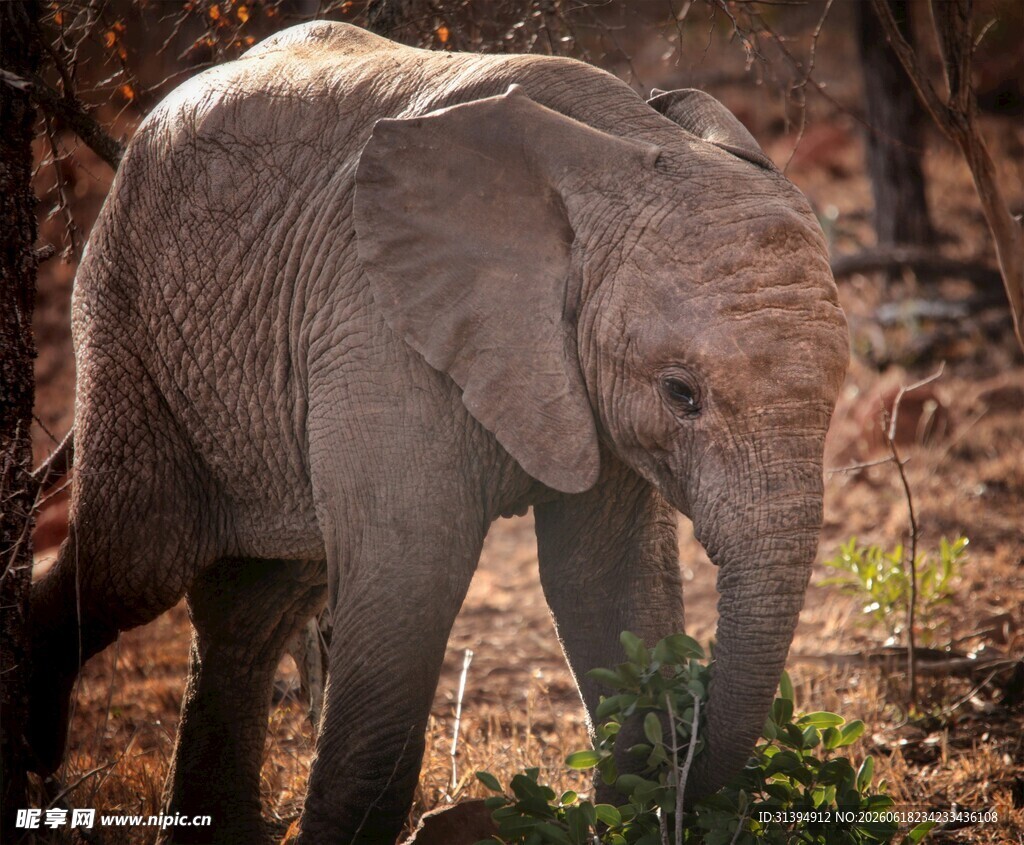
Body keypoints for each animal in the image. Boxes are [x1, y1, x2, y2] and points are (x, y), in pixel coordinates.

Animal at [27, 20, 849, 845]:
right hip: (128, 319)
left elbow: (600, 579)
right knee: (135, 560)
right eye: (681, 394)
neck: (622, 142)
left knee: (251, 609)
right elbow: (407, 589)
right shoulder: (378, 329)